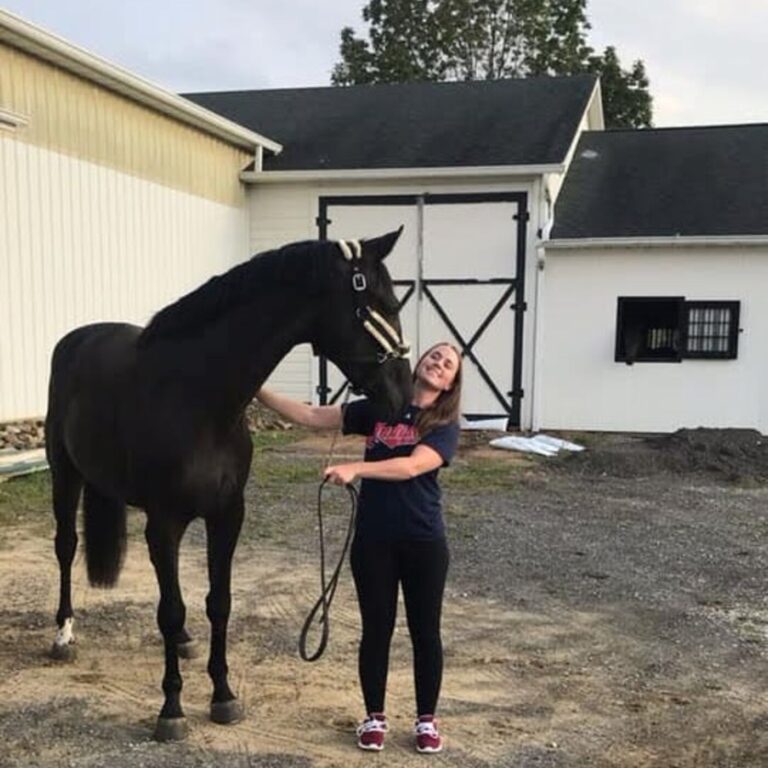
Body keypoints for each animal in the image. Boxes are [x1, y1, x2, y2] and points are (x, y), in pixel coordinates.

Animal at [44, 228, 412, 741]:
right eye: (377, 304)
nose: (403, 397)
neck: (199, 398)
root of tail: (76, 339)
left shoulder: (227, 515)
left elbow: (217, 603)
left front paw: (222, 695)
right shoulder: (166, 521)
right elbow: (171, 608)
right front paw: (172, 709)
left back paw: (182, 642)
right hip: (64, 474)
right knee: (66, 546)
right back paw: (64, 634)